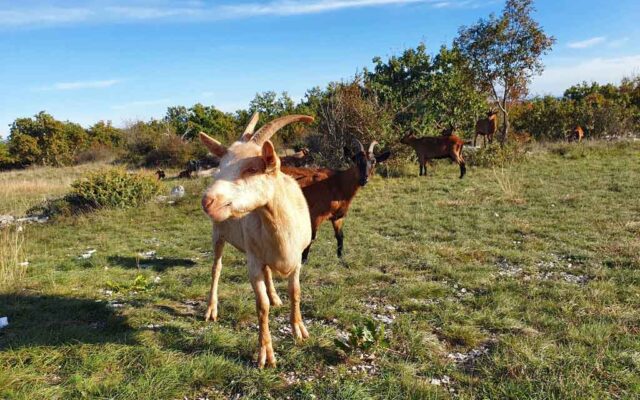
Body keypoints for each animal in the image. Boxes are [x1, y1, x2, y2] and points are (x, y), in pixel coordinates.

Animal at [199, 113, 314, 368]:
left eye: (252, 168)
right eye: (219, 168)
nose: (207, 201)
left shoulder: (297, 260)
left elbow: (296, 292)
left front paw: (299, 330)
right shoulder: (252, 262)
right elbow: (261, 306)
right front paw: (266, 354)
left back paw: (275, 297)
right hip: (217, 235)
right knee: (216, 268)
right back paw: (211, 309)